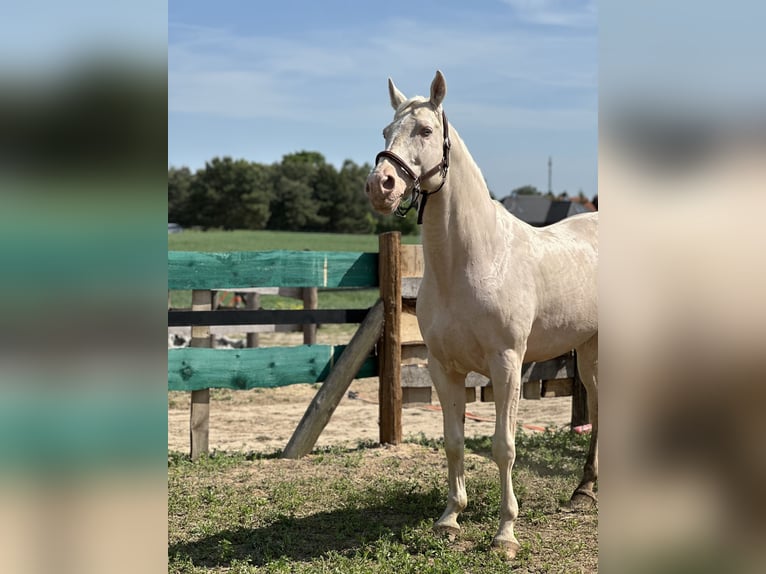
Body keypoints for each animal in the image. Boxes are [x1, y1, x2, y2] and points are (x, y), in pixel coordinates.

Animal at [366, 70, 600, 560]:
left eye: (425, 130)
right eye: (385, 131)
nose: (380, 185)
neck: (473, 261)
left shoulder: (507, 364)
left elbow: (503, 446)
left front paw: (505, 533)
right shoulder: (444, 367)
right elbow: (454, 442)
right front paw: (450, 518)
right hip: (587, 351)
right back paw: (584, 490)